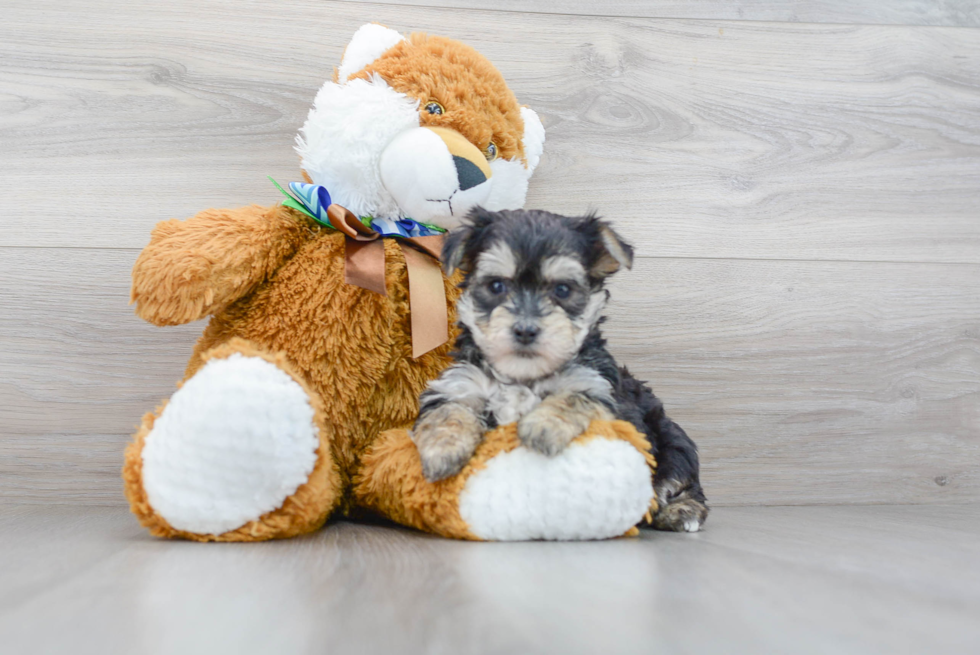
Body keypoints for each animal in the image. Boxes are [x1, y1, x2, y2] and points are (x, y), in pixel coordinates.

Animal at [410, 209, 708, 532]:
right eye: (497, 286)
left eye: (562, 290)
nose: (525, 330)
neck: (522, 375)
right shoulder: (460, 384)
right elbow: (446, 413)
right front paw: (441, 451)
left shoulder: (598, 389)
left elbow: (573, 397)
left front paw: (543, 427)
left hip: (672, 442)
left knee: (679, 481)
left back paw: (682, 511)